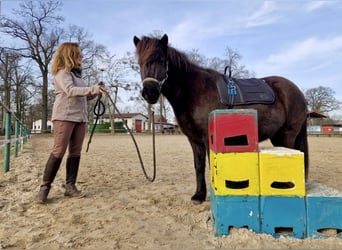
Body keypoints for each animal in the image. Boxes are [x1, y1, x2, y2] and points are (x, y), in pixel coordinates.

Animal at [133, 34, 308, 204]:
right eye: (140, 63)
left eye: (161, 61)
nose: (149, 93)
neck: (194, 91)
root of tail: (297, 91)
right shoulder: (194, 140)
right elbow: (199, 166)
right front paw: (199, 195)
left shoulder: (208, 138)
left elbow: (212, 166)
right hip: (277, 136)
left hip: (287, 135)